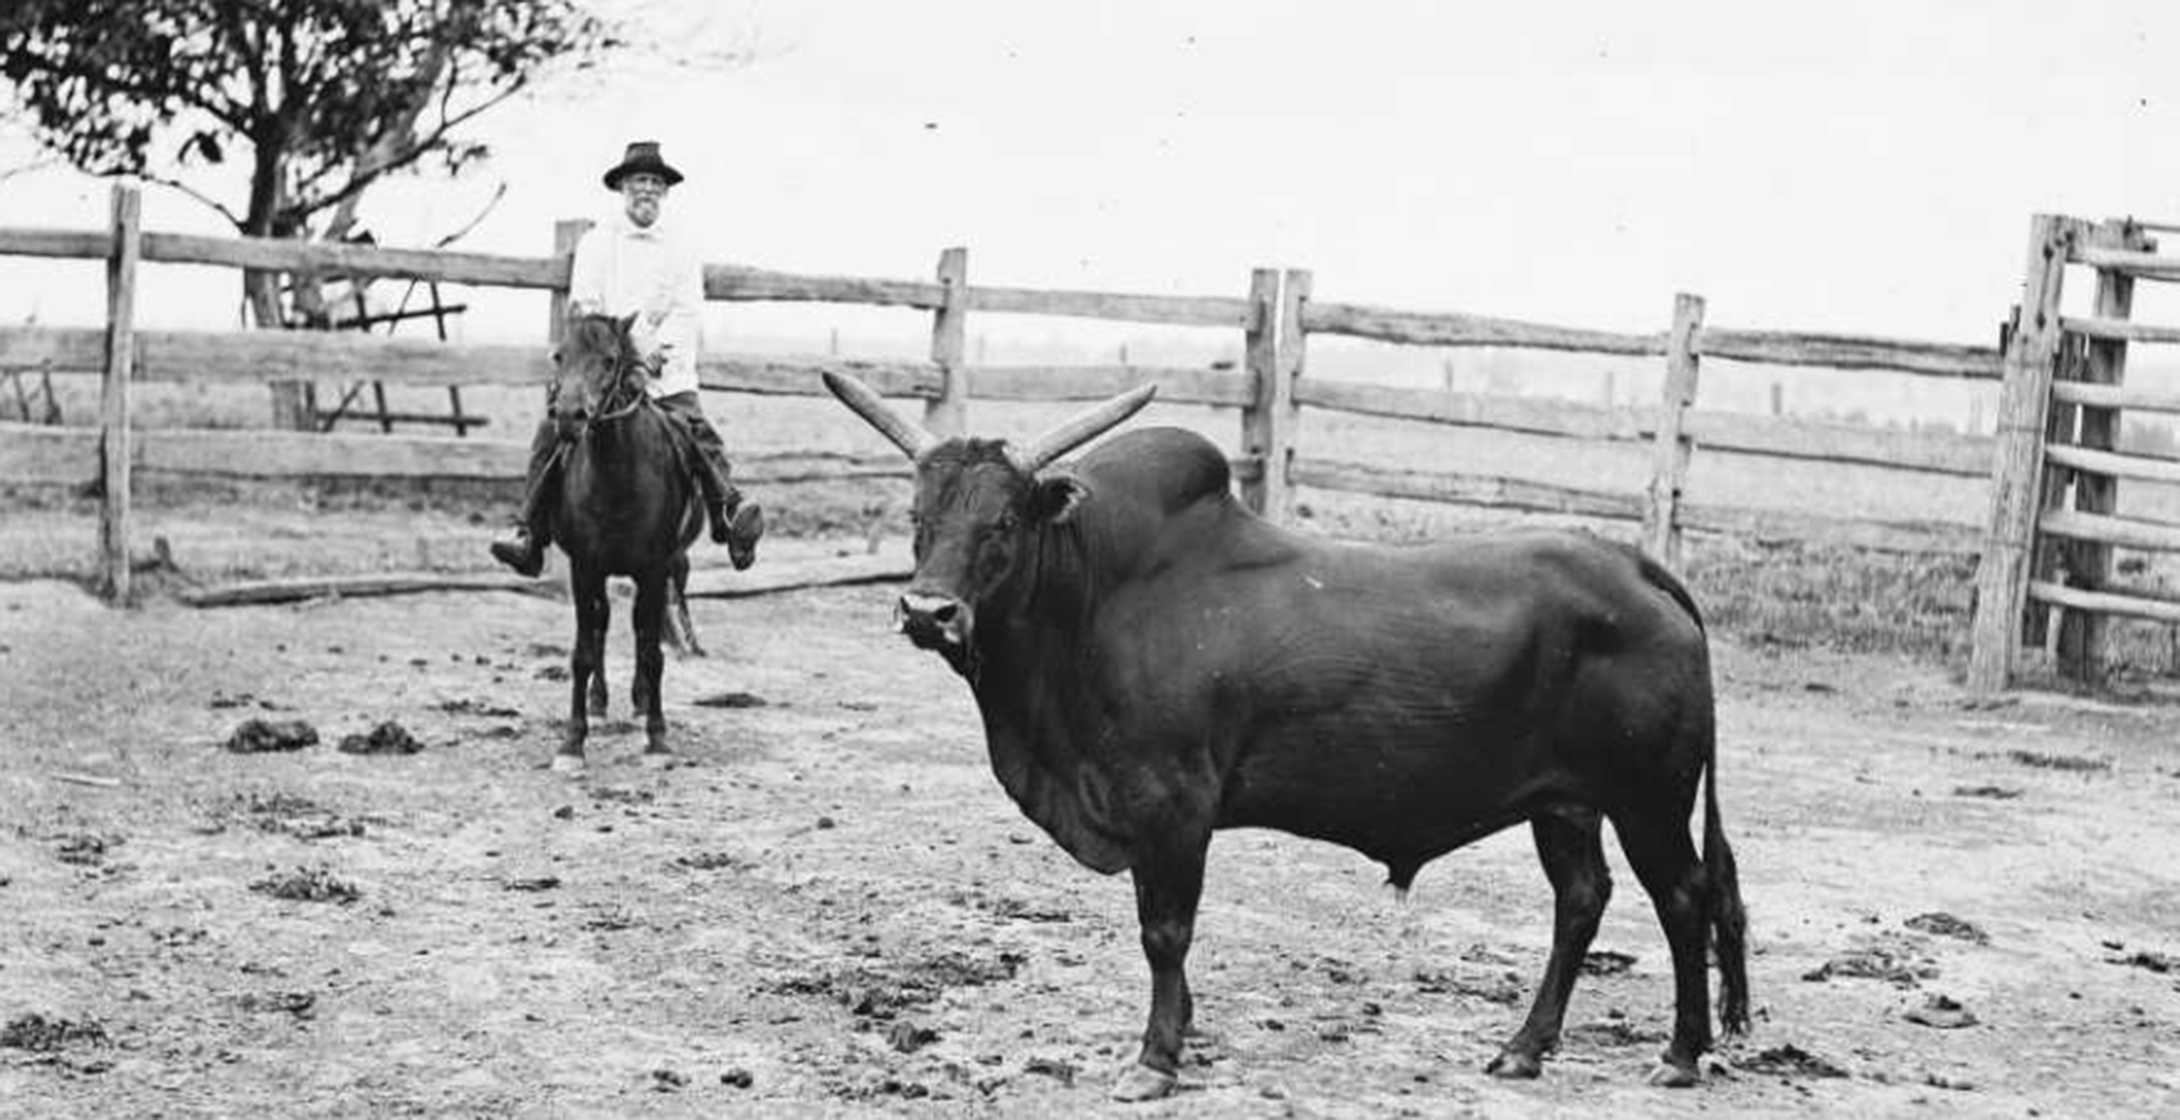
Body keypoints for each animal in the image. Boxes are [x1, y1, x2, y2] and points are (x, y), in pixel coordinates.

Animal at [540, 309, 701, 771]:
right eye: (560, 355)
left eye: (610, 360)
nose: (569, 416)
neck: (616, 478)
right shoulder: (583, 568)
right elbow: (582, 652)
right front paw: (572, 743)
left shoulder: (654, 569)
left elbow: (651, 651)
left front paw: (658, 738)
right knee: (604, 624)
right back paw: (599, 702)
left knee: (640, 628)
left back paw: (642, 701)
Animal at [819, 370, 1752, 1093]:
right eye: (918, 513)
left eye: (1004, 522)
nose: (927, 611)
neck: (1097, 598)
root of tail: (1636, 567)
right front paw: (1181, 1033)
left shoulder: (1173, 805)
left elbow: (1164, 931)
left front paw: (1156, 1060)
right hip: (1566, 804)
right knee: (1582, 900)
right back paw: (1524, 1049)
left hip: (1648, 796)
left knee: (1685, 897)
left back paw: (1679, 1055)